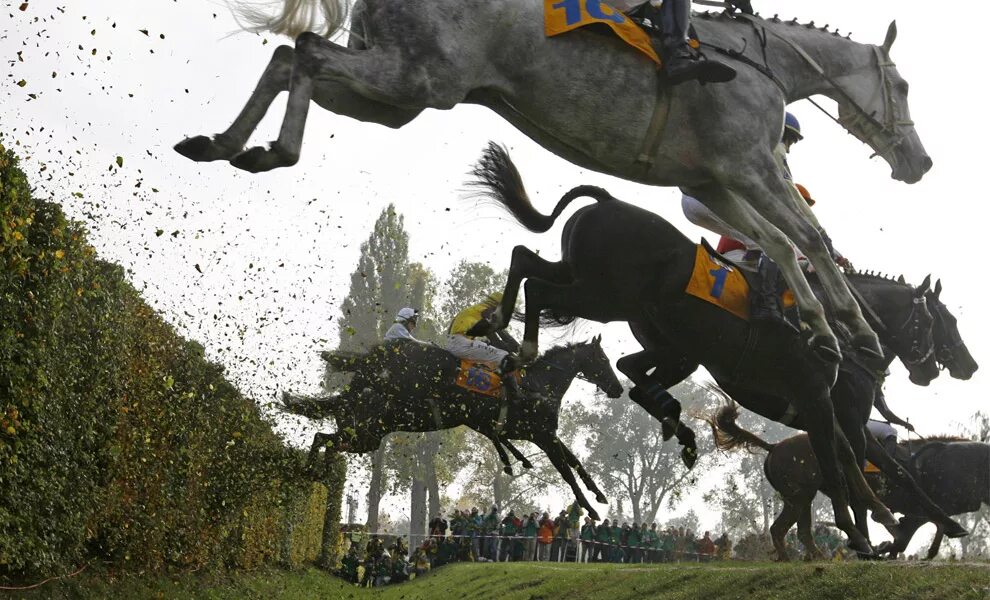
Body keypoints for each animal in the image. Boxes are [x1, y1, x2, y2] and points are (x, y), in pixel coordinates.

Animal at [176, 2, 928, 364]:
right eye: (902, 86)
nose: (920, 163)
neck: (752, 62)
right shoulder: (750, 165)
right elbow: (809, 238)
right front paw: (855, 331)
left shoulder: (715, 181)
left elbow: (777, 242)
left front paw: (823, 326)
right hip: (414, 78)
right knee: (303, 53)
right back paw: (270, 149)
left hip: (394, 94)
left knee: (291, 56)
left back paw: (225, 144)